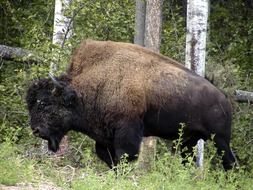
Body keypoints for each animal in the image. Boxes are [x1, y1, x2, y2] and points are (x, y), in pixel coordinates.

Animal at [26, 39, 236, 170]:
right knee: (189, 160)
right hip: (189, 140)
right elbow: (109, 158)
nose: (36, 130)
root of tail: (224, 98)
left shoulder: (127, 130)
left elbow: (125, 156)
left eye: (45, 103)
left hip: (220, 139)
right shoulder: (104, 137)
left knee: (230, 162)